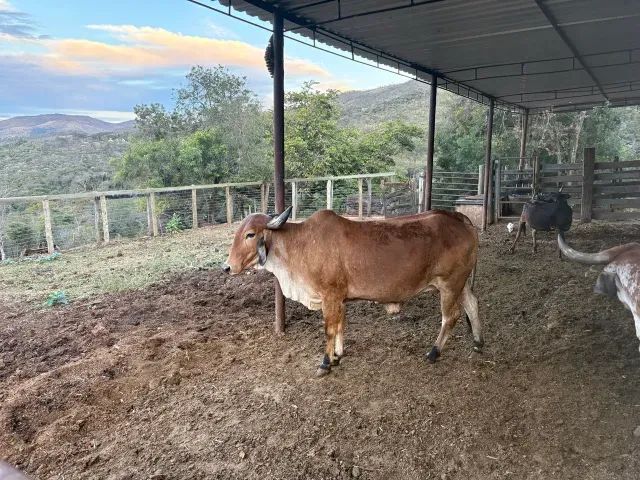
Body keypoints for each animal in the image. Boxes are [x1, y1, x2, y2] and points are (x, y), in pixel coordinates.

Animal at [224, 207, 482, 377]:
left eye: (250, 234)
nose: (227, 267)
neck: (301, 245)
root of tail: (459, 218)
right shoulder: (339, 298)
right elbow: (340, 326)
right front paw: (337, 355)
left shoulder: (330, 295)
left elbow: (329, 329)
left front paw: (325, 363)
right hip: (460, 284)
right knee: (473, 304)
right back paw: (478, 342)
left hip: (449, 283)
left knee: (451, 317)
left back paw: (434, 352)